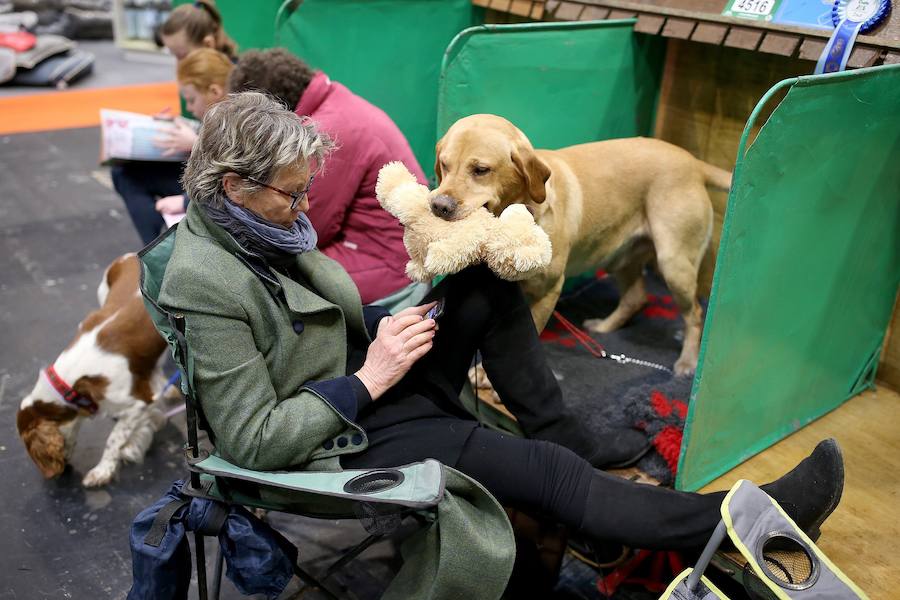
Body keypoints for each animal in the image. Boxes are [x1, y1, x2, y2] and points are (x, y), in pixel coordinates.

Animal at [432, 114, 736, 372]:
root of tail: (693, 161)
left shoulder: (548, 290)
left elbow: (529, 341)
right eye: (444, 165)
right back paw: (604, 327)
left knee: (695, 314)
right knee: (636, 298)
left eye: (481, 170)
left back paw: (688, 362)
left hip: (674, 265)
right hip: (619, 259)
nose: (438, 205)